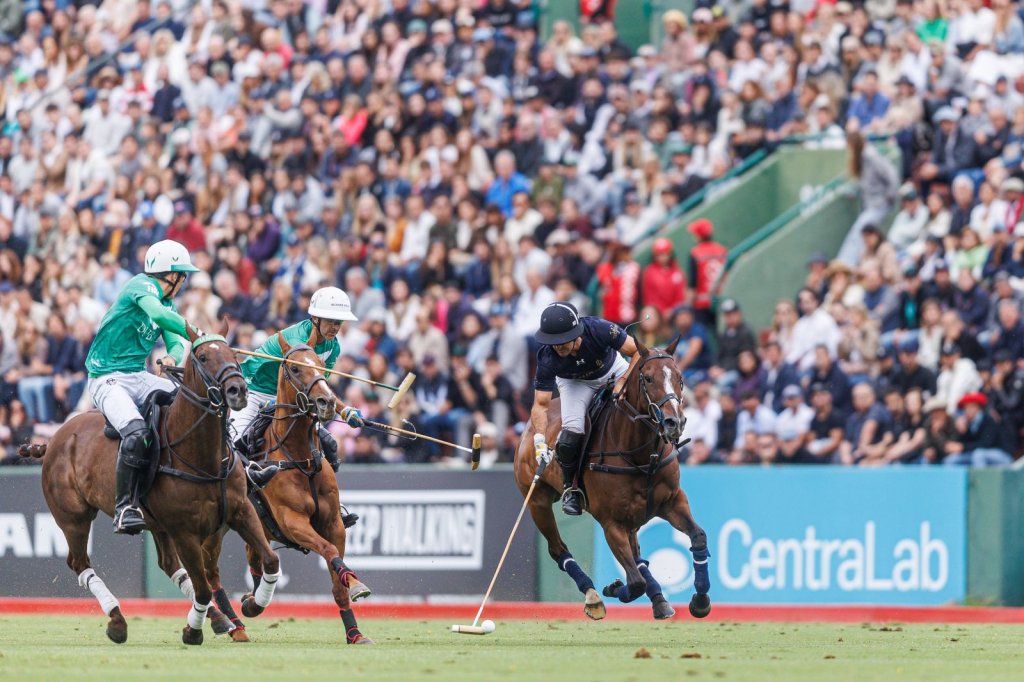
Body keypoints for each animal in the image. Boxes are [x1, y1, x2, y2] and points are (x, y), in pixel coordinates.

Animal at [19, 323, 282, 643]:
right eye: (203, 357)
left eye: (234, 354)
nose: (238, 391)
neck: (202, 456)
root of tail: (54, 438)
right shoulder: (184, 530)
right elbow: (203, 588)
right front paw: (193, 631)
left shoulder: (241, 511)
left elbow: (271, 560)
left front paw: (252, 605)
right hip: (73, 517)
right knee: (80, 564)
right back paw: (117, 620)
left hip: (157, 525)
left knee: (169, 566)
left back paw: (219, 619)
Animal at [237, 329, 374, 643]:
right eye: (296, 368)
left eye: (323, 367)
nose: (326, 402)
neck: (300, 456)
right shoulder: (292, 521)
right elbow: (328, 549)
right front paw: (356, 583)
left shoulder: (333, 522)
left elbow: (336, 578)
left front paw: (355, 631)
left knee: (255, 557)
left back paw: (252, 601)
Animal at [512, 337, 712, 618]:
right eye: (647, 378)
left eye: (680, 378)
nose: (675, 422)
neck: (641, 456)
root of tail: (528, 428)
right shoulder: (611, 522)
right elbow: (635, 583)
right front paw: (613, 587)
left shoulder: (673, 502)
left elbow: (698, 537)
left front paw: (700, 601)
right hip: (537, 502)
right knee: (558, 549)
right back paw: (593, 596)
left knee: (638, 556)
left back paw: (660, 600)